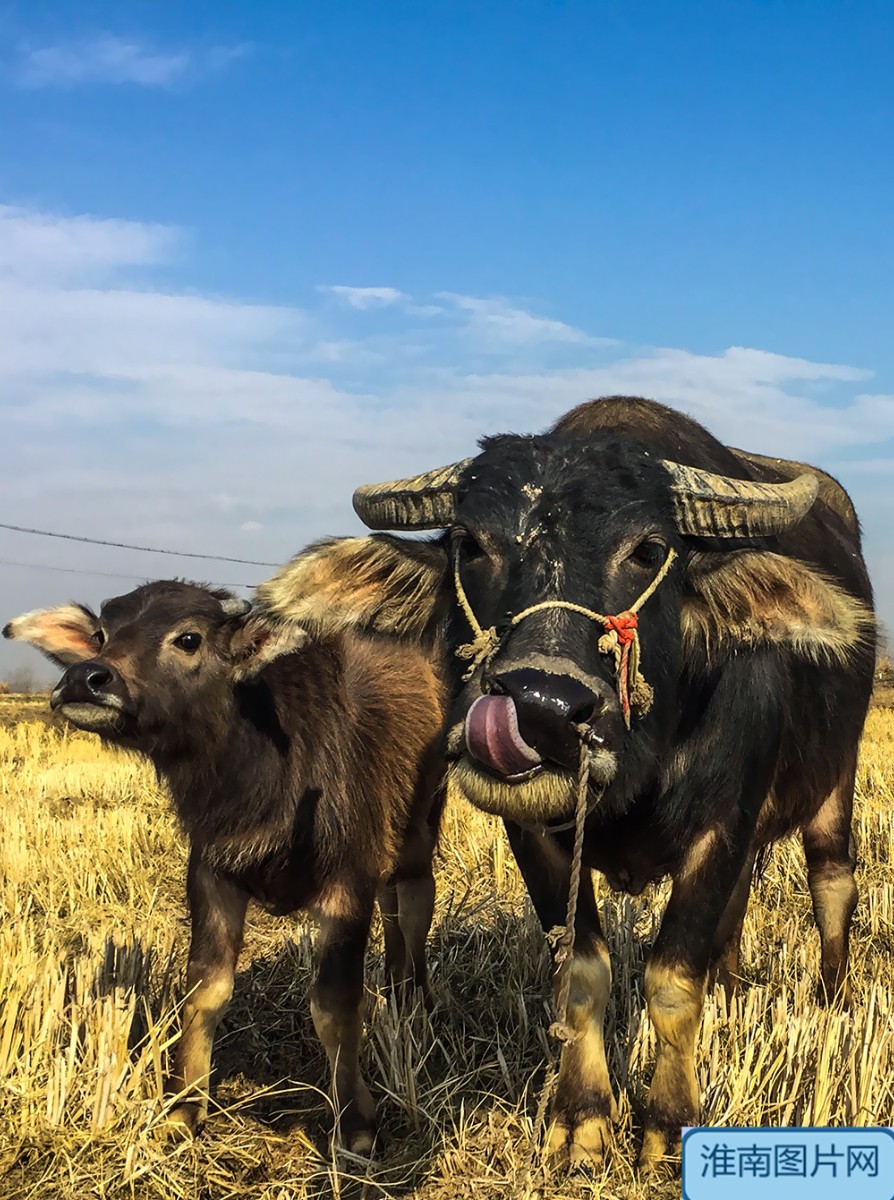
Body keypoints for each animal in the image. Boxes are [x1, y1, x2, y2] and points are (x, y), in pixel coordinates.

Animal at [5, 577, 446, 1153]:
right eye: (102, 634)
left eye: (188, 638)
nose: (85, 679)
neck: (262, 774)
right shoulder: (212, 873)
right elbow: (204, 990)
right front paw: (183, 1106)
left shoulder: (347, 884)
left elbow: (333, 1004)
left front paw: (355, 1121)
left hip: (420, 826)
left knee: (414, 903)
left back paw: (414, 1001)